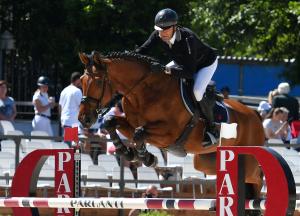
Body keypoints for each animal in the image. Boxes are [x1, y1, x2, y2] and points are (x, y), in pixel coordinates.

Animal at [78, 50, 266, 202]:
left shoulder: (169, 134)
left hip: (248, 159)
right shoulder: (130, 125)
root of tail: (254, 114)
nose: (83, 119)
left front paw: (146, 157)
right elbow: (111, 122)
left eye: (97, 82)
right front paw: (130, 153)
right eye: (81, 80)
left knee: (257, 177)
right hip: (206, 162)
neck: (143, 92)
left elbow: (140, 133)